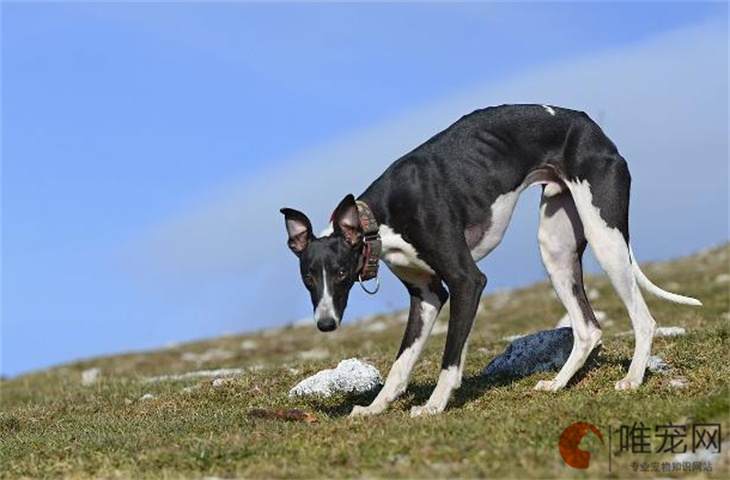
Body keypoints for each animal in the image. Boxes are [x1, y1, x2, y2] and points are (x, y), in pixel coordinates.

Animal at [280, 104, 700, 416]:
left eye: (340, 272)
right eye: (308, 278)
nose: (325, 324)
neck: (378, 219)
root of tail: (590, 125)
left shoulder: (467, 281)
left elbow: (451, 358)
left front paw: (433, 406)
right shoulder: (427, 296)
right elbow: (401, 363)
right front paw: (373, 408)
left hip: (606, 237)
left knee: (643, 319)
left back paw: (632, 379)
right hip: (556, 249)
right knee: (588, 329)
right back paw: (558, 383)